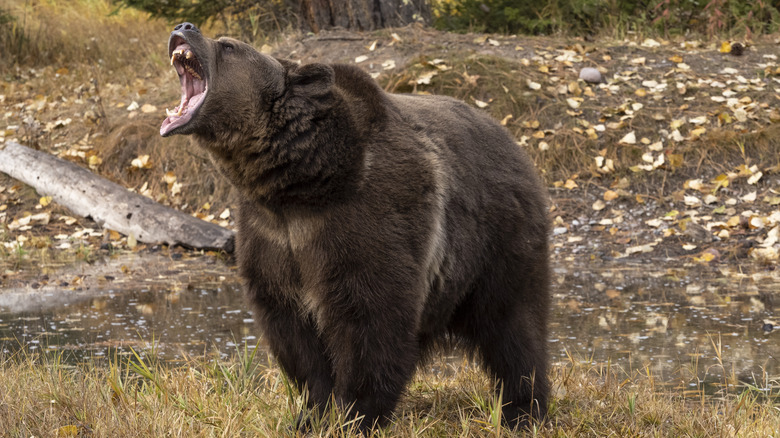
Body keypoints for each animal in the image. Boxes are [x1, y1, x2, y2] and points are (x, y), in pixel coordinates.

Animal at [160, 23, 548, 432]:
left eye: (229, 46)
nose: (185, 27)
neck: (298, 184)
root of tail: (513, 141)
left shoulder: (364, 220)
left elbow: (370, 319)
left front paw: (357, 414)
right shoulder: (272, 237)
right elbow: (293, 332)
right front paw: (312, 413)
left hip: (498, 239)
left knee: (513, 326)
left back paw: (523, 410)